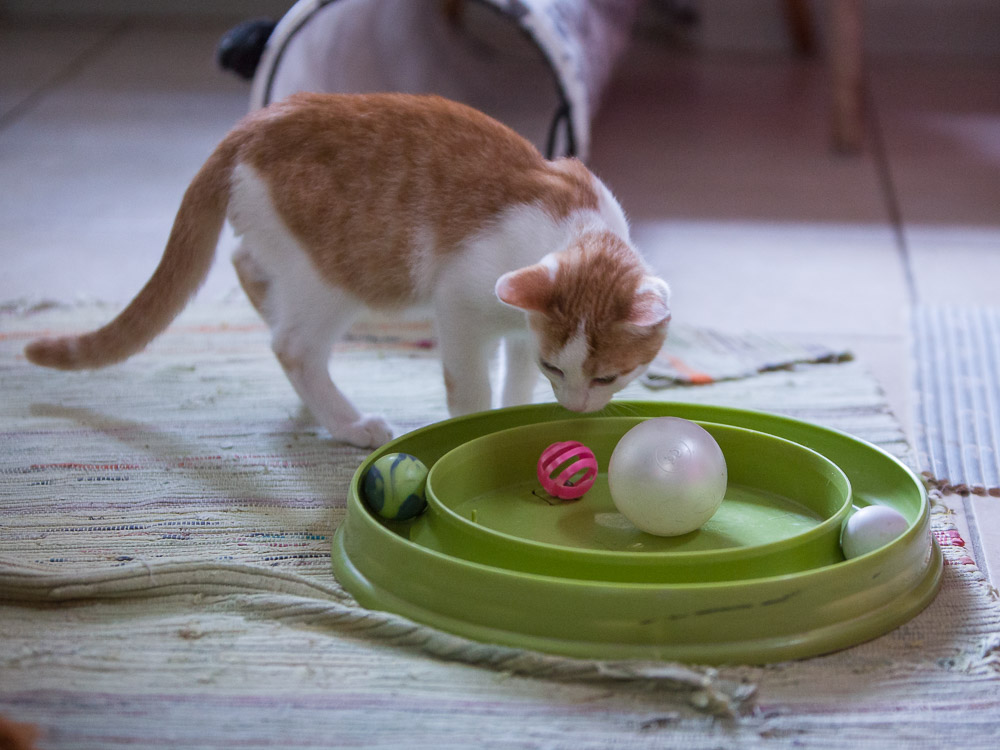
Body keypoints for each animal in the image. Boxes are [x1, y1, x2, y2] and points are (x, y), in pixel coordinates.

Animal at [27, 93, 672, 446]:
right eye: (569, 372)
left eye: (608, 377)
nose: (577, 409)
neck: (573, 227)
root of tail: (252, 124)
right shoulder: (460, 305)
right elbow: (471, 387)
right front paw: (474, 428)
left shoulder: (521, 326)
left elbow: (514, 379)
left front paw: (518, 409)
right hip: (337, 273)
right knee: (292, 345)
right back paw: (346, 422)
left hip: (289, 254)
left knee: (248, 266)